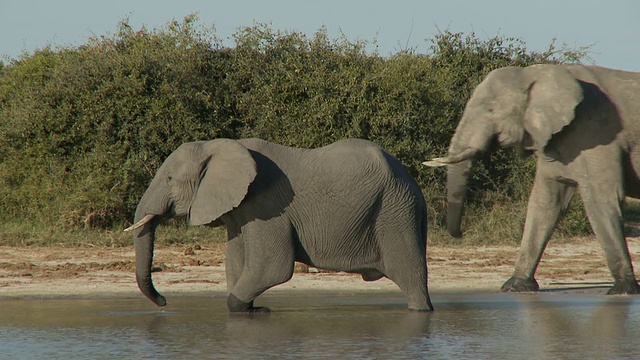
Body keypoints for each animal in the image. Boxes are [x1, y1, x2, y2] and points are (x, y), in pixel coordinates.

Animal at [125, 138, 436, 312]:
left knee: (410, 277)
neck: (215, 145)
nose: (164, 302)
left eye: (169, 179)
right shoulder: (241, 210)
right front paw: (255, 310)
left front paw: (254, 309)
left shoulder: (267, 205)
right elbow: (236, 264)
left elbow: (273, 268)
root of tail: (414, 185)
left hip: (395, 212)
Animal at [424, 64, 640, 296]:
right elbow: (544, 203)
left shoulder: (598, 133)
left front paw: (623, 291)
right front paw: (515, 287)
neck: (535, 73)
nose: (461, 234)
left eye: (490, 110)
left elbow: (601, 199)